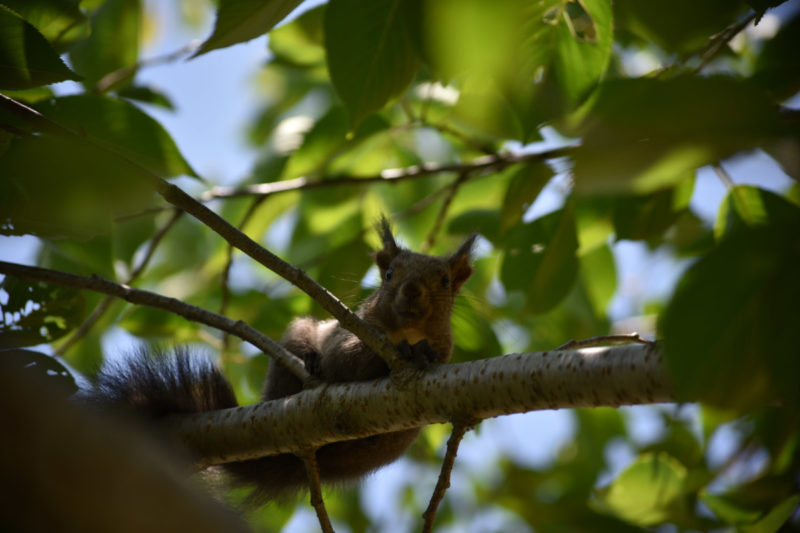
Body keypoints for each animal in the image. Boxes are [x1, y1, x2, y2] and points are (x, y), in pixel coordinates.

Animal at [84, 217, 476, 508]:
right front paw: (405, 352)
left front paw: (423, 353)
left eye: (444, 280)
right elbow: (345, 360)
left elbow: (435, 354)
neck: (406, 330)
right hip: (296, 342)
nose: (411, 291)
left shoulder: (446, 346)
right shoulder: (349, 332)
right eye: (390, 273)